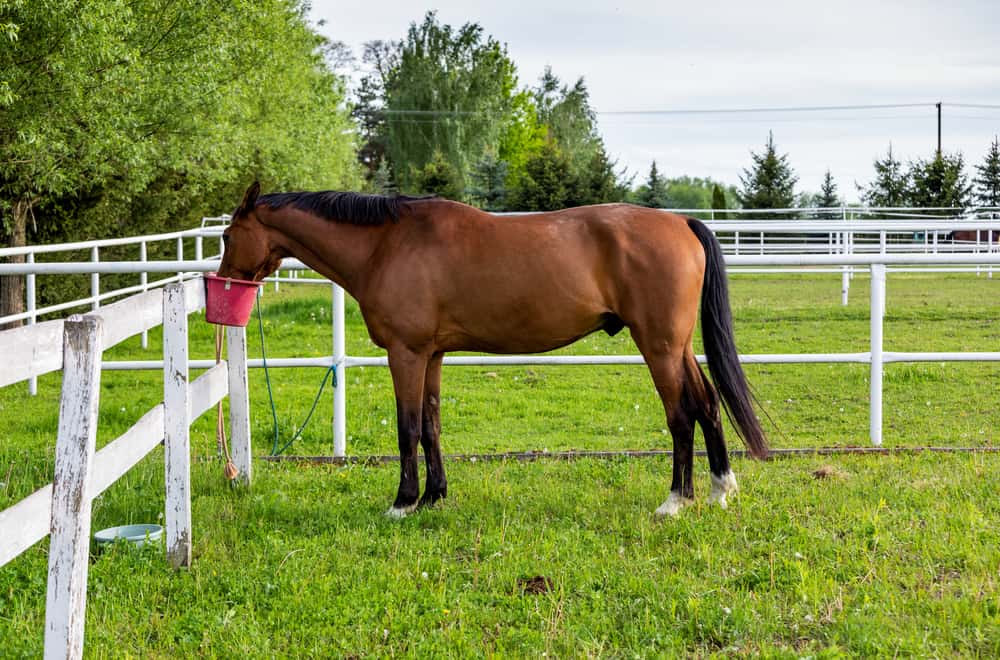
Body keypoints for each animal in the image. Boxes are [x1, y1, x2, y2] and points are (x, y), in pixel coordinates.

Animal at [217, 182, 768, 518]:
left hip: (658, 346)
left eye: (226, 234)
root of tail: (681, 222)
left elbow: (408, 427)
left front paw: (403, 502)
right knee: (707, 403)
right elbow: (432, 424)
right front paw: (434, 497)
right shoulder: (432, 354)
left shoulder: (406, 352)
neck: (387, 244)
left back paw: (675, 500)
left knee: (681, 413)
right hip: (678, 346)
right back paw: (720, 489)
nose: (223, 281)